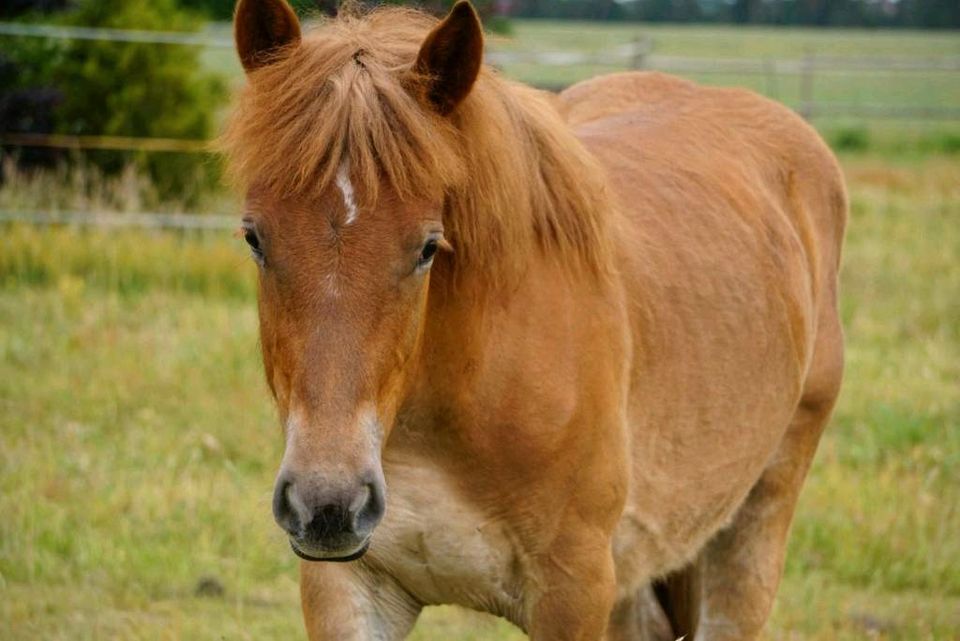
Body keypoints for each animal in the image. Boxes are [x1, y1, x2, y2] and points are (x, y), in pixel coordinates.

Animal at [221, 2, 844, 636]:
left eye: (427, 247)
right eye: (254, 238)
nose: (327, 505)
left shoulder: (574, 593)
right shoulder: (347, 585)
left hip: (753, 527)